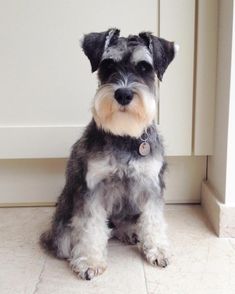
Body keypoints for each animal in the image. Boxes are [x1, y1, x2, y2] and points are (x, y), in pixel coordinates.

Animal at [40, 28, 177, 280]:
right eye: (108, 65)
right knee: (68, 239)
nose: (123, 94)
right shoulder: (92, 188)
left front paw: (158, 250)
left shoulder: (151, 185)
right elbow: (90, 226)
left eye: (145, 67)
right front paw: (89, 261)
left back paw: (130, 232)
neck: (124, 134)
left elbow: (153, 219)